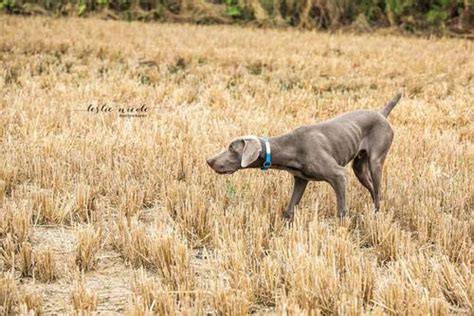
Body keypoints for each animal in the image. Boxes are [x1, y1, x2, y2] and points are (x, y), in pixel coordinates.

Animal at [206, 92, 400, 218]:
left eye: (232, 149)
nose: (209, 160)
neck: (291, 146)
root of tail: (381, 115)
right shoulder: (300, 180)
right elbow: (289, 209)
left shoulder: (338, 175)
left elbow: (341, 210)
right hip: (359, 167)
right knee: (373, 190)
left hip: (375, 161)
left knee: (377, 190)